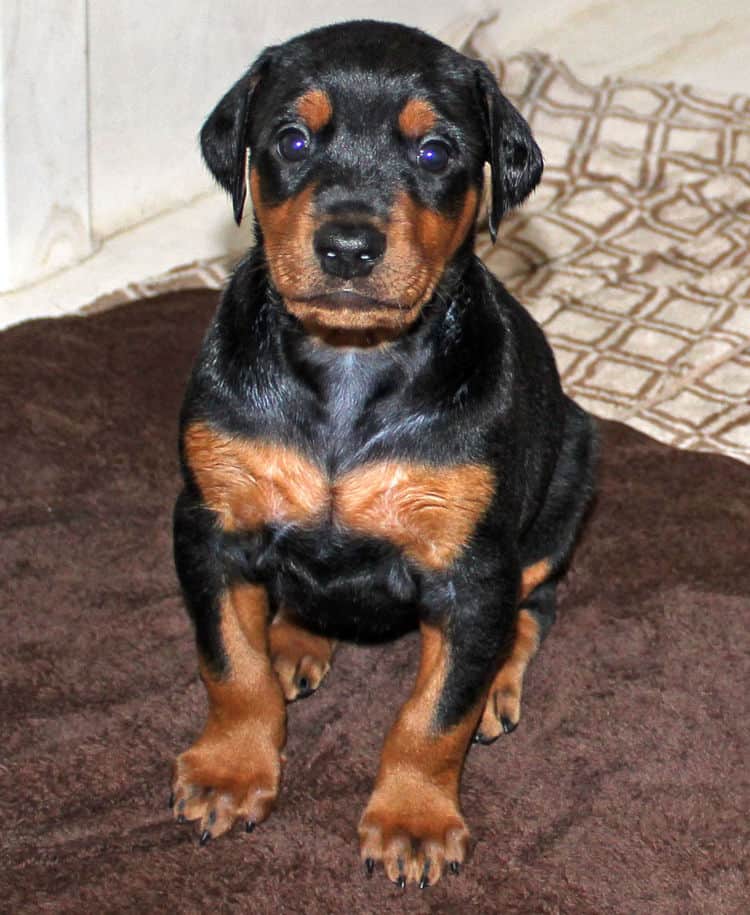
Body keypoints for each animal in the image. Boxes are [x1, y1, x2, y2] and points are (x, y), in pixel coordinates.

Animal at [170, 19, 600, 888]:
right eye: (291, 139)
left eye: (435, 152)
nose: (347, 245)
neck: (350, 365)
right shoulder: (209, 525)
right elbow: (230, 663)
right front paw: (232, 769)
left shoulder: (473, 569)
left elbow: (434, 714)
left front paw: (412, 820)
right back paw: (295, 640)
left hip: (569, 478)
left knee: (533, 608)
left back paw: (497, 682)